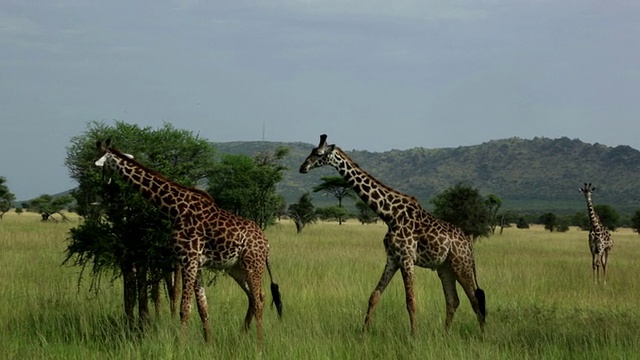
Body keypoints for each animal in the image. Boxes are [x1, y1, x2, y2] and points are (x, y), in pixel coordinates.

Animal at [95, 140, 282, 346]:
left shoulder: (188, 259)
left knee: (259, 300)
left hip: (252, 264)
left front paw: (181, 345)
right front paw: (208, 343)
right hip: (236, 268)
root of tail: (266, 245)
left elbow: (185, 308)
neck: (174, 209)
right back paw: (241, 337)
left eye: (102, 163)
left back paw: (259, 344)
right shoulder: (196, 263)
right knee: (255, 297)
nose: (103, 183)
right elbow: (203, 308)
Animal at [300, 134, 484, 332]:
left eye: (319, 153)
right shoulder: (392, 258)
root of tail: (468, 243)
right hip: (445, 268)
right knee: (453, 300)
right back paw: (445, 334)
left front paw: (414, 336)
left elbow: (411, 301)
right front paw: (363, 334)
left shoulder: (406, 258)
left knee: (475, 300)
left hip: (461, 265)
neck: (389, 214)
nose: (303, 167)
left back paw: (482, 335)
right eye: (311, 151)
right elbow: (374, 296)